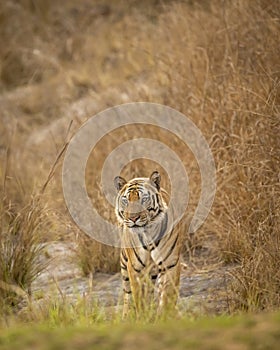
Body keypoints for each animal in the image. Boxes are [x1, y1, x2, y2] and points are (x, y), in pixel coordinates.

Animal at [114, 171, 184, 318]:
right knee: (127, 294)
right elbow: (139, 298)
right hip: (124, 263)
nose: (133, 218)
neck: (149, 233)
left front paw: (165, 317)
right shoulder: (135, 268)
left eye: (144, 199)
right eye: (126, 200)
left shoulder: (171, 264)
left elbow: (168, 296)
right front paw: (143, 317)